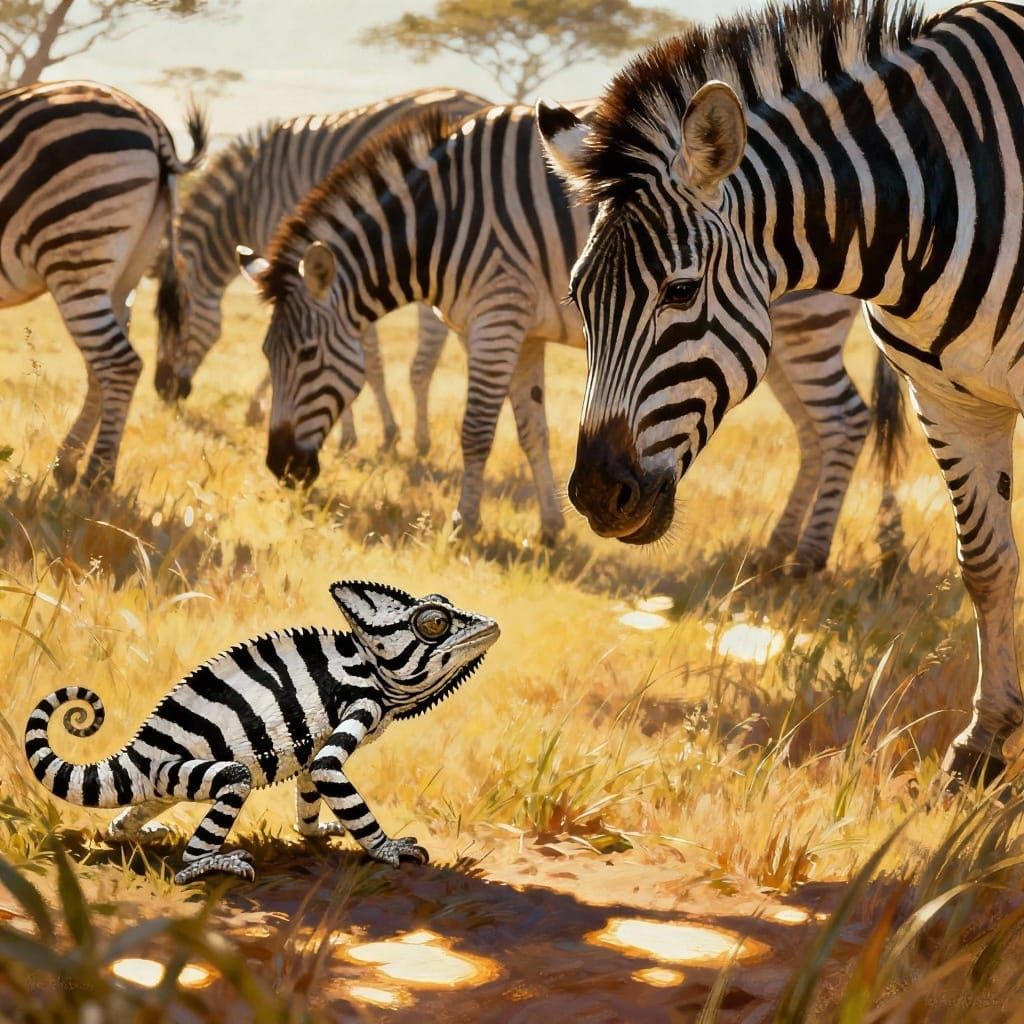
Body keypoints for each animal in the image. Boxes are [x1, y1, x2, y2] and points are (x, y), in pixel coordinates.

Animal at [0, 80, 205, 489]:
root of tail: (153, 124)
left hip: (75, 250)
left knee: (119, 363)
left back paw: (96, 480)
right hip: (122, 272)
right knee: (100, 367)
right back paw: (67, 464)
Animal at [24, 580, 499, 884]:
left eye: (440, 602)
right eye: (434, 623)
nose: (491, 625)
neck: (369, 663)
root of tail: (137, 754)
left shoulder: (316, 746)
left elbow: (311, 784)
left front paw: (315, 832)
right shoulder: (359, 705)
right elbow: (332, 777)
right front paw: (389, 849)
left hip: (157, 784)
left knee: (127, 815)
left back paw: (137, 834)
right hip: (182, 772)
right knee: (227, 790)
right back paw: (204, 865)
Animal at [153, 87, 489, 451]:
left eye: (170, 322)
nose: (162, 390)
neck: (246, 202)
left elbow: (361, 358)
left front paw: (365, 434)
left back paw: (423, 438)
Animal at [244, 102, 903, 570]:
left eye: (306, 355)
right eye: (266, 356)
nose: (279, 469)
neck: (441, 221)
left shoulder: (496, 317)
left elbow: (476, 431)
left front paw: (463, 526)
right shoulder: (523, 334)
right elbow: (532, 429)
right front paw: (550, 530)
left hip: (803, 327)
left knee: (844, 420)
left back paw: (808, 558)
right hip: (763, 347)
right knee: (814, 432)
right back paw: (778, 546)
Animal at [537, 0, 1024, 785]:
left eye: (680, 291)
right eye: (579, 297)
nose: (597, 496)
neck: (942, 198)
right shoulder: (947, 400)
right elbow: (985, 564)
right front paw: (982, 744)